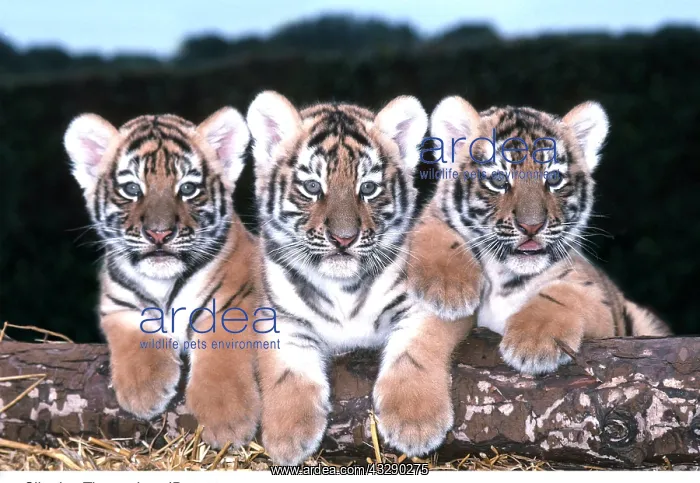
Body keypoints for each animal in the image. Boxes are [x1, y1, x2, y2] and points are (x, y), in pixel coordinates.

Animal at [63, 108, 260, 448]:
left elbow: (222, 350)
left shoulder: (238, 298)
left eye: (188, 188)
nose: (159, 233)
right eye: (132, 189)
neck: (163, 285)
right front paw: (144, 390)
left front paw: (228, 419)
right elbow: (135, 334)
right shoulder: (116, 304)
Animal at [246, 91, 470, 465]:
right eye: (312, 186)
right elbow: (289, 369)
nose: (344, 238)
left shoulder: (422, 305)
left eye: (368, 187)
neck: (342, 288)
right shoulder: (280, 317)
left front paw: (416, 421)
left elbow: (415, 349)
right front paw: (288, 436)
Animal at [407, 96, 671, 375]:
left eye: (553, 178)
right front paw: (448, 288)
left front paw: (533, 341)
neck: (503, 278)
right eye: (499, 179)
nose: (531, 226)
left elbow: (565, 295)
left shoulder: (598, 300)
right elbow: (432, 224)